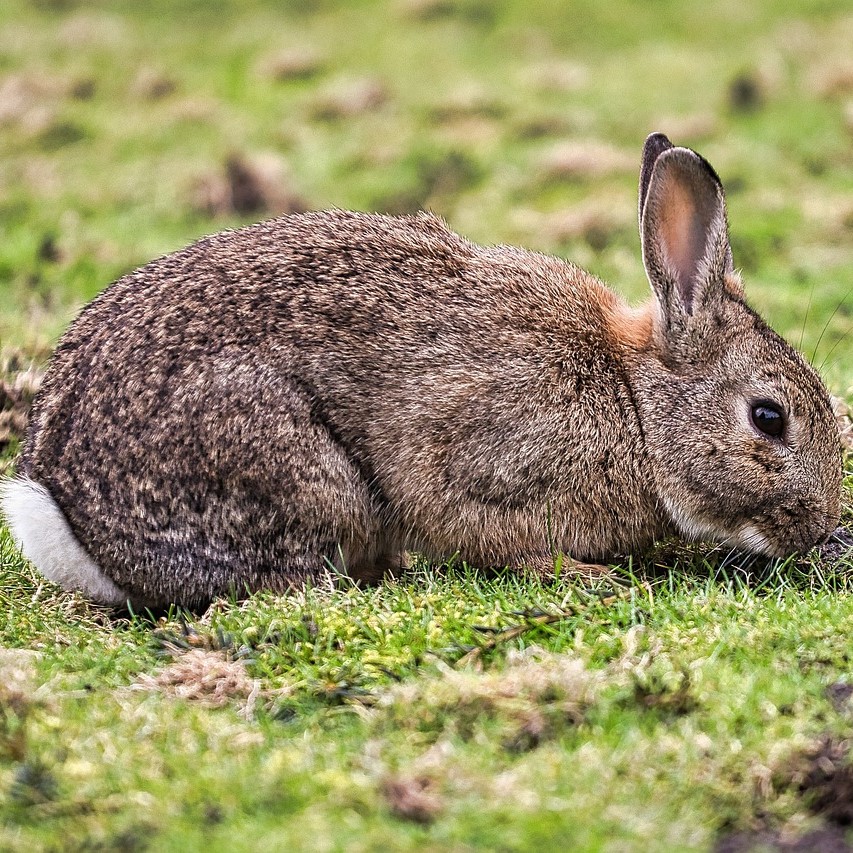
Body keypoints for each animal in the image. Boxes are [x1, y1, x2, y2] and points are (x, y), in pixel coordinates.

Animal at [0, 133, 840, 608]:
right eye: (768, 417)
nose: (821, 526)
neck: (636, 403)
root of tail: (65, 518)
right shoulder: (485, 466)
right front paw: (582, 576)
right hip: (291, 467)